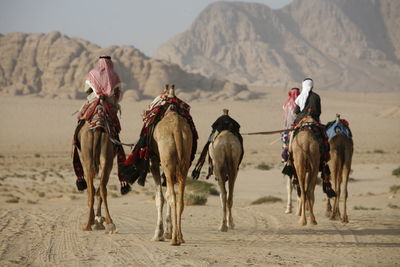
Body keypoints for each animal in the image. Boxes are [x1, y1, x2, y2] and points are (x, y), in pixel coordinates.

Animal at [77, 97, 119, 234]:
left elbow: (92, 190)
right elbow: (99, 188)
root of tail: (98, 127)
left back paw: (88, 225)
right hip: (106, 156)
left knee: (92, 188)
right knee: (102, 187)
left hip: (88, 157)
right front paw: (98, 220)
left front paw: (96, 220)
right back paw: (109, 223)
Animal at [150, 88, 194, 247]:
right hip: (184, 160)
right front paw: (168, 232)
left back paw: (175, 239)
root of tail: (177, 129)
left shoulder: (153, 162)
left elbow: (160, 198)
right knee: (179, 198)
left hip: (167, 160)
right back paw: (179, 237)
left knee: (172, 197)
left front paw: (159, 234)